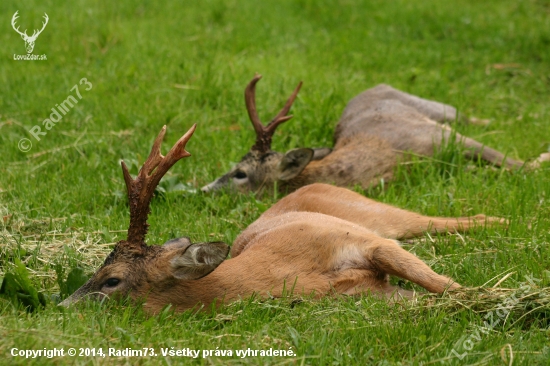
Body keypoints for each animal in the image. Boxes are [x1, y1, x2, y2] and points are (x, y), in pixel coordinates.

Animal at [58, 125, 506, 312]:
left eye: (111, 279)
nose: (59, 306)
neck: (288, 273)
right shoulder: (366, 293)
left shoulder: (363, 241)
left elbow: (449, 287)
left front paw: (502, 298)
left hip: (377, 214)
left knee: (449, 220)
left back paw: (502, 222)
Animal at [203, 74, 550, 194]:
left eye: (240, 173)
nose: (204, 189)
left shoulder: (438, 137)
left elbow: (516, 164)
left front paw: (541, 159)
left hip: (437, 110)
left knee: (466, 114)